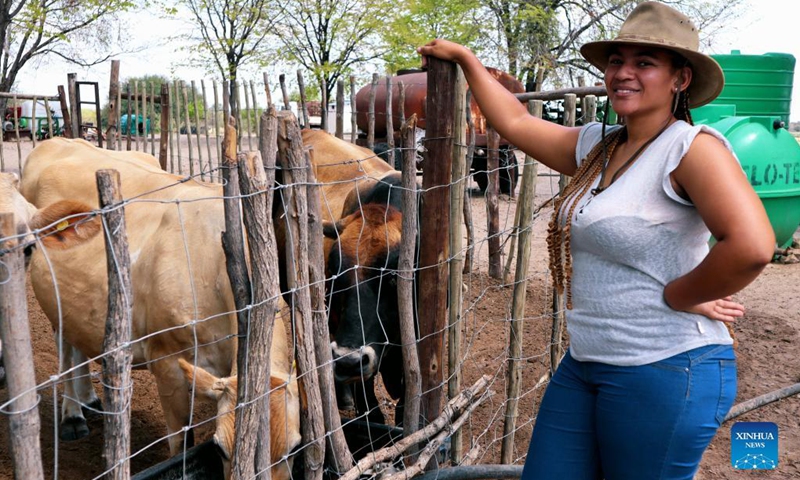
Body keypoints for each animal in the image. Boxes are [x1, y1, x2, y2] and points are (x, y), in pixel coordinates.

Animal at [22, 136, 304, 464]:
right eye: (219, 449)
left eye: (294, 448)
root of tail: (60, 139)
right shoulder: (167, 363)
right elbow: (181, 444)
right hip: (52, 299)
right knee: (66, 348)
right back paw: (72, 416)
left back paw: (90, 399)